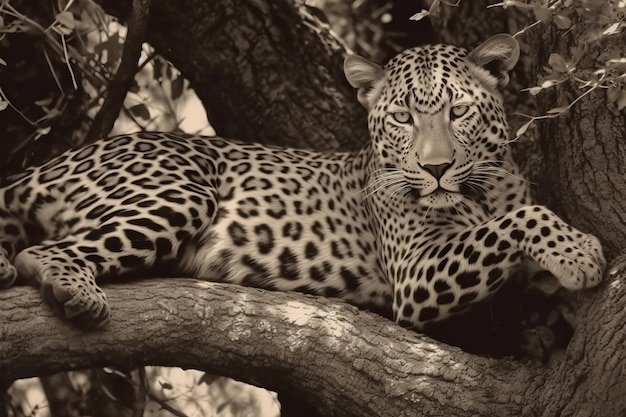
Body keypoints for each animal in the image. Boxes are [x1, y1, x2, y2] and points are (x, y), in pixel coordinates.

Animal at [0, 34, 604, 340]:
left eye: (458, 112)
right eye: (403, 118)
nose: (436, 168)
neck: (483, 191)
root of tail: (58, 160)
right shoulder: (415, 276)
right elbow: (518, 220)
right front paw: (581, 254)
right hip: (181, 193)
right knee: (44, 252)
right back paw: (75, 293)